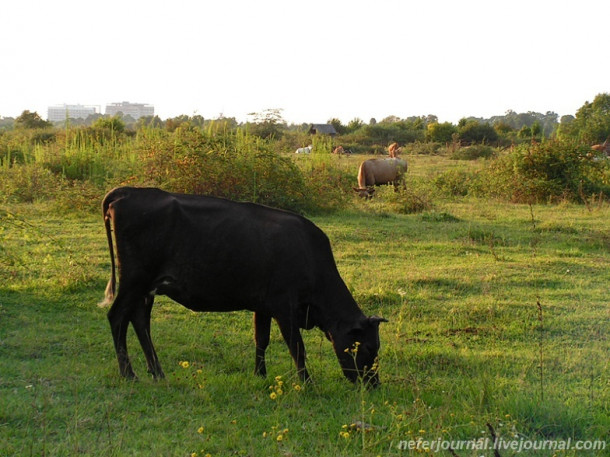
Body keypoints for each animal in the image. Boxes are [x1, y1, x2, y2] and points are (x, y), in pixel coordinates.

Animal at [100, 187, 384, 382]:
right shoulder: (284, 307)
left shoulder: (264, 305)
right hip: (134, 281)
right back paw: (129, 374)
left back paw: (157, 372)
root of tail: (129, 191)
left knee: (140, 321)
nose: (373, 384)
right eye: (369, 347)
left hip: (147, 288)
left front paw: (260, 374)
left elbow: (262, 339)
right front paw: (307, 383)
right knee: (118, 317)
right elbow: (297, 347)